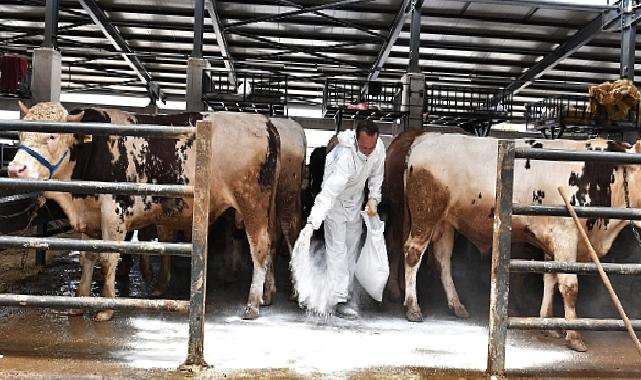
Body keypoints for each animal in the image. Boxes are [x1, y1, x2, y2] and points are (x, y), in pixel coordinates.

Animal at [6, 101, 282, 320]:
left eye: (53, 136)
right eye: (20, 133)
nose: (16, 169)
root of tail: (263, 122)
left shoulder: (114, 212)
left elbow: (108, 259)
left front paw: (106, 307)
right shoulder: (89, 215)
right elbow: (87, 258)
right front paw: (79, 303)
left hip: (251, 203)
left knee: (260, 247)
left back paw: (252, 305)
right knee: (271, 245)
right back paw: (267, 295)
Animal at [402, 132, 636, 352]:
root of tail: (428, 136)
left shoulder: (552, 241)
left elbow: (549, 278)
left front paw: (548, 324)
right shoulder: (566, 235)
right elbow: (569, 286)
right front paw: (574, 337)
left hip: (446, 222)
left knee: (443, 260)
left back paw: (457, 305)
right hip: (426, 215)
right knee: (413, 253)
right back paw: (413, 308)